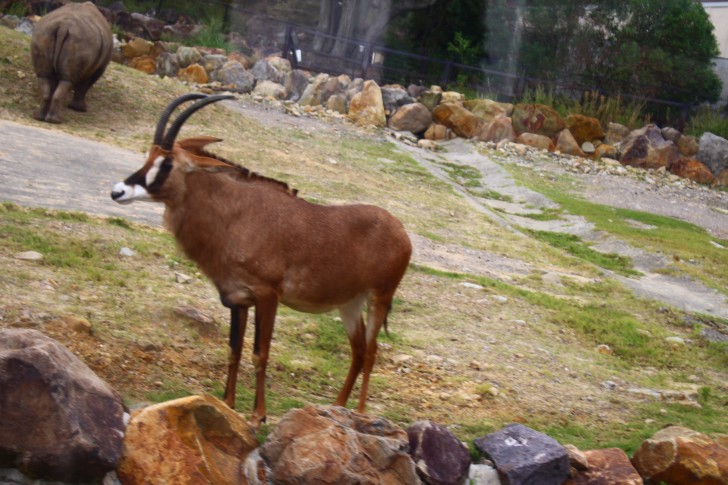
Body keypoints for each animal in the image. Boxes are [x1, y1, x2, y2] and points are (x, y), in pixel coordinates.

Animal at [111, 92, 412, 426]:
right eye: (148, 156)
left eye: (167, 163)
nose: (118, 191)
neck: (237, 216)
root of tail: (401, 231)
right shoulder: (237, 298)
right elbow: (234, 350)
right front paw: (227, 402)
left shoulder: (268, 296)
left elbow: (260, 353)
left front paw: (259, 415)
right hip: (349, 303)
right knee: (358, 350)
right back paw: (337, 408)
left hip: (379, 298)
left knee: (371, 351)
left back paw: (358, 413)